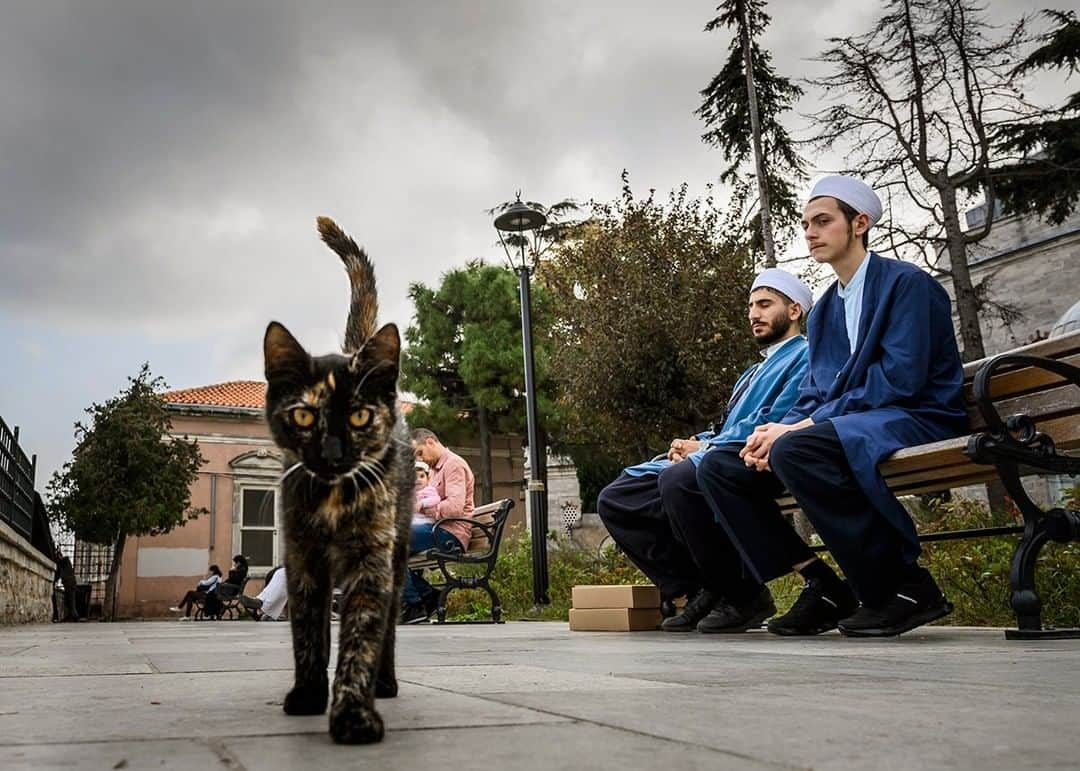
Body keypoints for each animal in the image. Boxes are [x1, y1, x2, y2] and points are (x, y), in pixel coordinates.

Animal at [262, 218, 412, 742]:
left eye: (361, 415)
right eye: (304, 415)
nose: (331, 452)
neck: (332, 497)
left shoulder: (371, 560)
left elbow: (362, 637)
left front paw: (353, 712)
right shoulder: (303, 558)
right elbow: (308, 631)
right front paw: (308, 694)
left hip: (398, 553)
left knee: (390, 626)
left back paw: (385, 683)